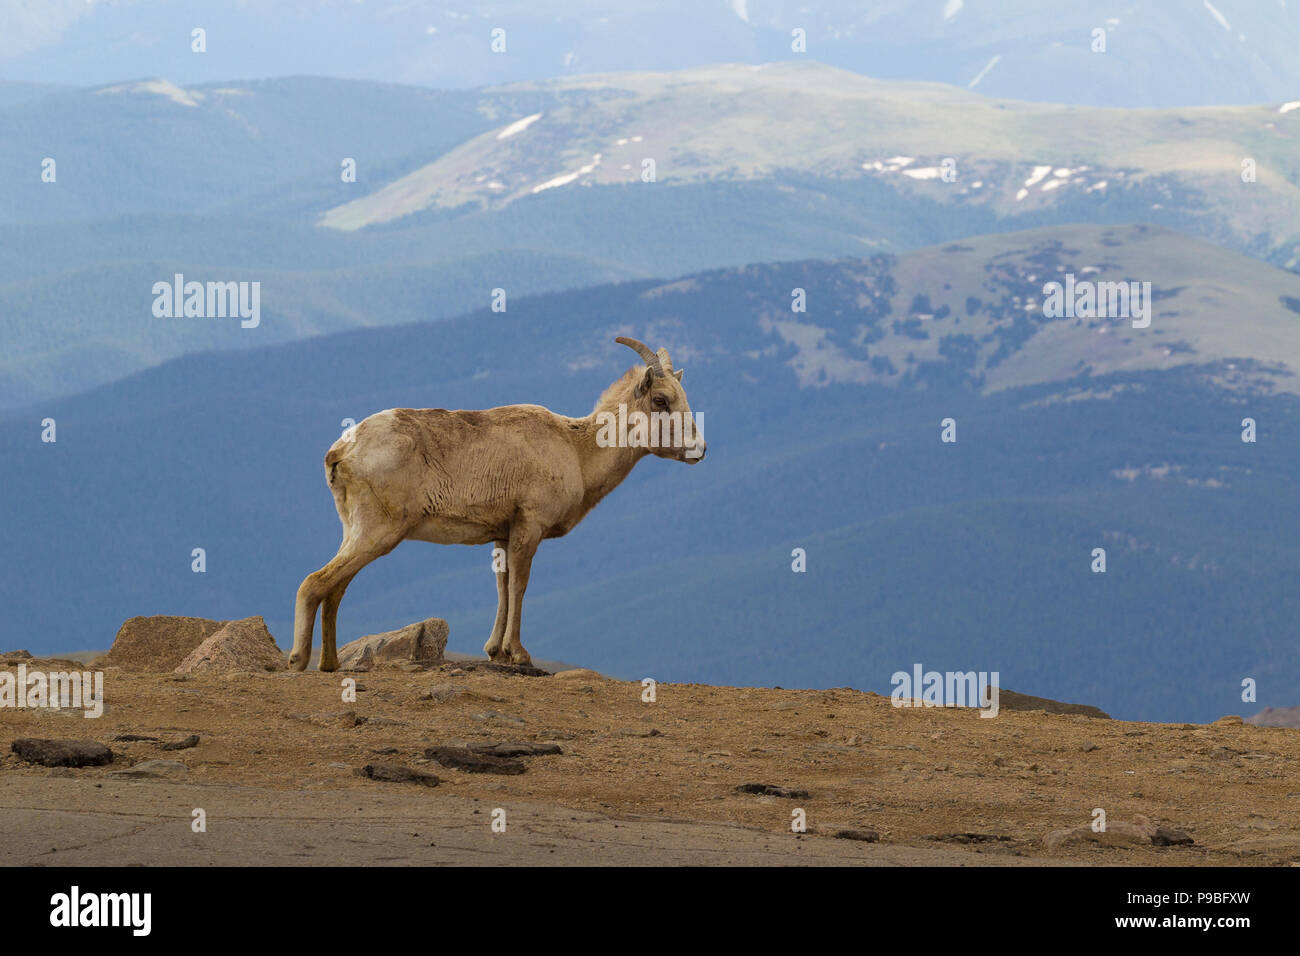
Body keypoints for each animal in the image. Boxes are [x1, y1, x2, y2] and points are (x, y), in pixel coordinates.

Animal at [289, 340, 707, 671]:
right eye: (660, 400)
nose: (699, 450)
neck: (577, 452)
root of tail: (341, 452)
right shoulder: (528, 528)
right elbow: (519, 585)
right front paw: (518, 654)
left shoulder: (502, 536)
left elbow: (502, 587)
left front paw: (496, 652)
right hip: (379, 532)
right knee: (314, 583)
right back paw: (299, 661)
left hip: (356, 530)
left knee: (334, 589)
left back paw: (330, 664)